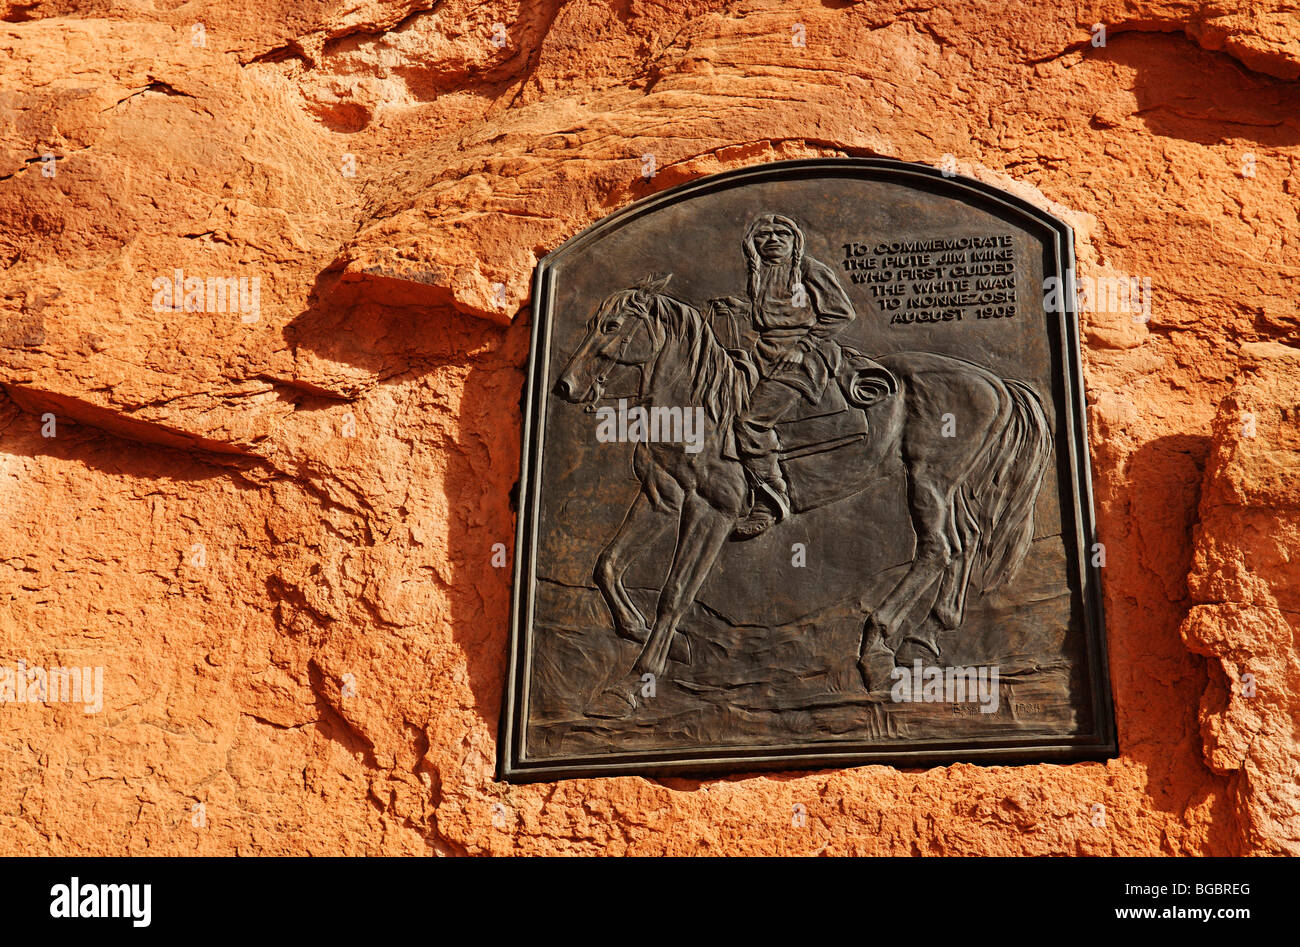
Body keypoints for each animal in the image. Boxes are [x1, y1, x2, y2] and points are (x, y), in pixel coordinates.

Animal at [551, 273, 1055, 718]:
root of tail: (996, 383)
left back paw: (877, 648)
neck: (697, 408)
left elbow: (675, 592)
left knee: (938, 548)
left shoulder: (712, 509)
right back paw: (925, 636)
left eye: (612, 326)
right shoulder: (661, 498)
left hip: (929, 480)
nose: (565, 386)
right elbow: (607, 564)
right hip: (949, 485)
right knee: (964, 542)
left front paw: (632, 685)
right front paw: (657, 640)